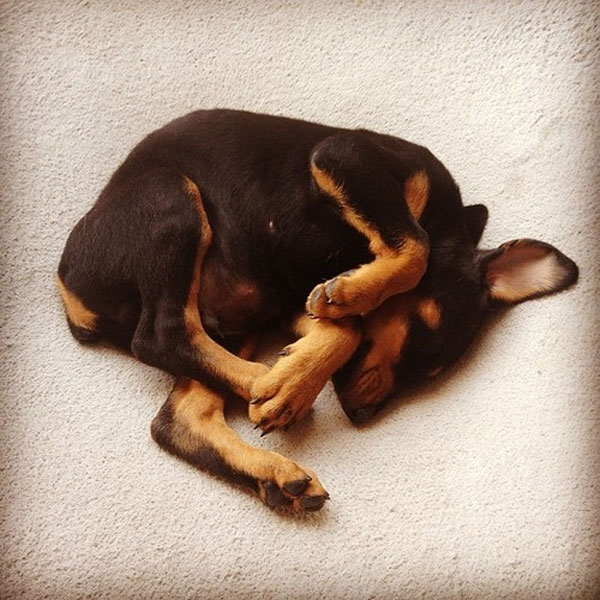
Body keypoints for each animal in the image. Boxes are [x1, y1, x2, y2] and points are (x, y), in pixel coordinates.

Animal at [58, 109, 580, 510]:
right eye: (420, 332)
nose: (363, 416)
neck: (445, 219)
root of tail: (68, 289)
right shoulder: (346, 156)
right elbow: (415, 249)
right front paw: (342, 312)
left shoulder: (290, 296)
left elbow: (344, 329)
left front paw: (298, 376)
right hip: (172, 203)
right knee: (160, 335)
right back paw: (265, 382)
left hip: (241, 312)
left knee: (179, 418)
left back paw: (276, 460)